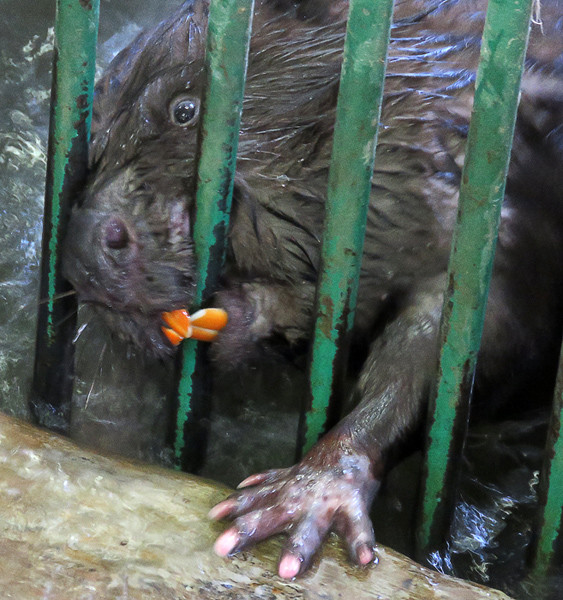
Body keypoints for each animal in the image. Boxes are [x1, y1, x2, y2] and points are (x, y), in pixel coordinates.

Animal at [61, 0, 563, 580]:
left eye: (184, 110)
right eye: (92, 140)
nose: (83, 247)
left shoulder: (492, 220)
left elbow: (460, 347)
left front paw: (302, 495)